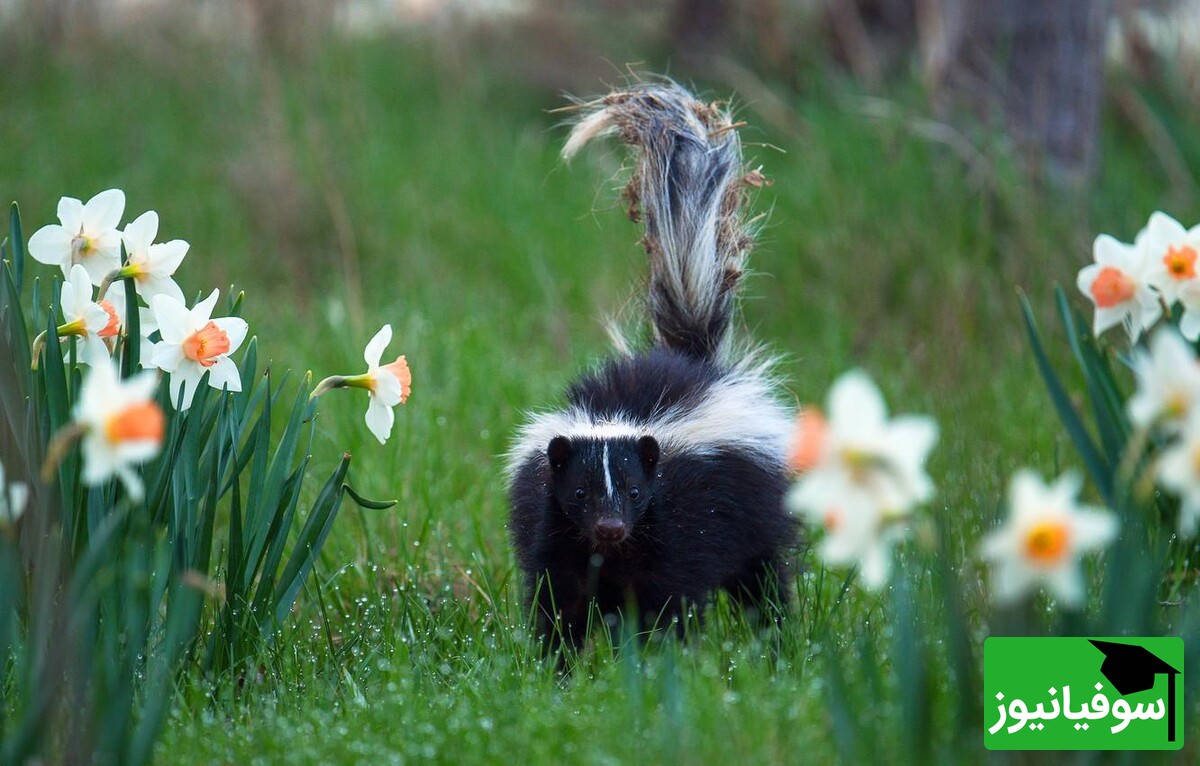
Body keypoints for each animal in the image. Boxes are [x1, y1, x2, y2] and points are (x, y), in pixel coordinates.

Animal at [506, 84, 796, 653]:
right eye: (580, 492)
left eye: (636, 491)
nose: (611, 526)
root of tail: (690, 361)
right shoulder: (554, 528)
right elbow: (560, 602)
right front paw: (555, 665)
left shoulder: (681, 521)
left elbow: (668, 600)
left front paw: (657, 660)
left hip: (756, 508)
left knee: (762, 578)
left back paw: (776, 639)